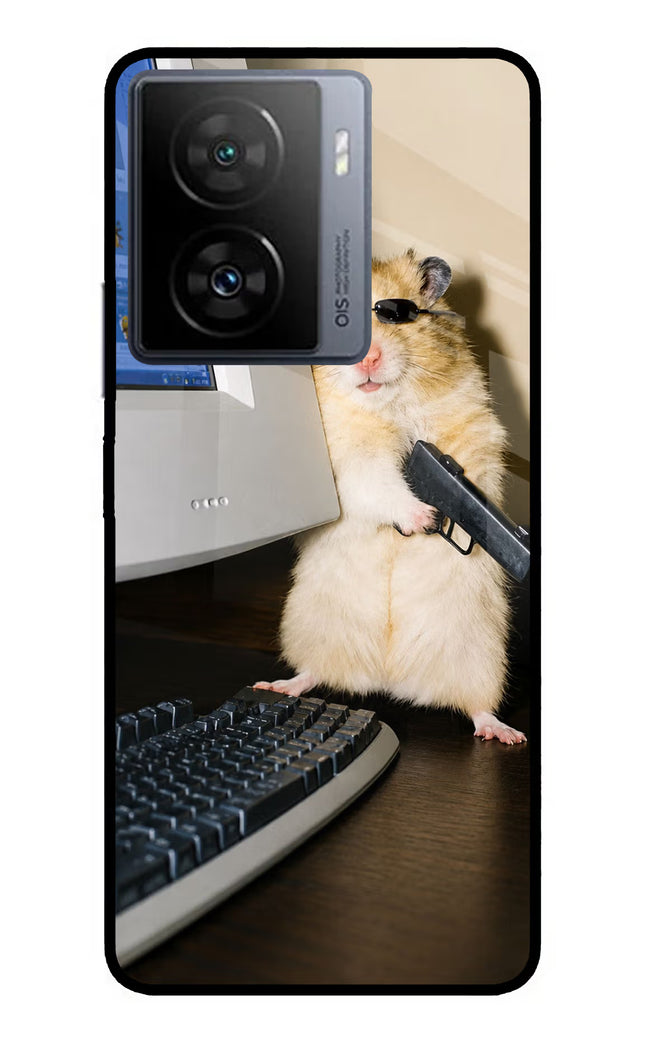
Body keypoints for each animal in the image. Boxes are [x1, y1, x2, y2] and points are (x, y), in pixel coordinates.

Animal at [256, 250, 526, 744]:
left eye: (395, 315)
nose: (367, 358)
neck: (388, 403)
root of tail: (389, 679)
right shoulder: (348, 459)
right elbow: (379, 483)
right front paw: (424, 518)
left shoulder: (471, 428)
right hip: (311, 627)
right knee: (313, 672)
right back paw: (279, 685)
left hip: (480, 655)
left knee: (477, 706)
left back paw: (505, 733)